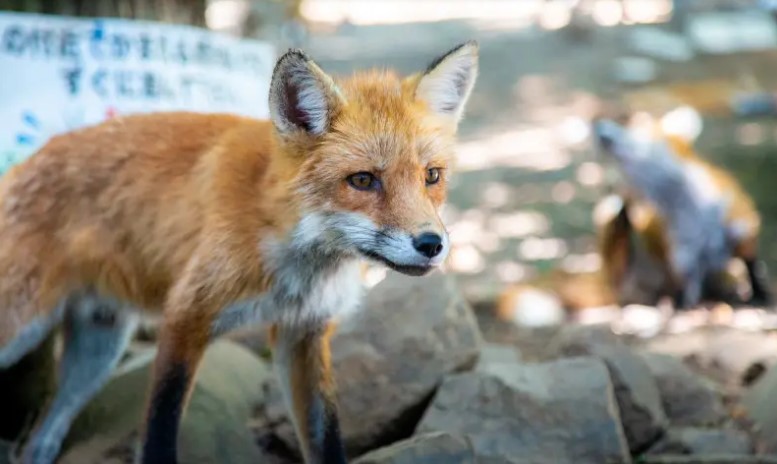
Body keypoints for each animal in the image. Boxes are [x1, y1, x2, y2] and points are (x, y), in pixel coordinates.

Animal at [0, 41, 479, 464]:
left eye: (432, 176)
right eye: (362, 180)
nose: (432, 244)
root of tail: (23, 163)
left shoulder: (302, 335)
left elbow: (326, 441)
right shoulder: (186, 315)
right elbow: (159, 433)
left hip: (99, 350)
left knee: (41, 438)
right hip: (23, 327)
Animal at [593, 118, 772, 309]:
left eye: (636, 134)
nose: (599, 126)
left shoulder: (743, 230)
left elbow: (751, 265)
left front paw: (759, 292)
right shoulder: (684, 260)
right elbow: (689, 289)